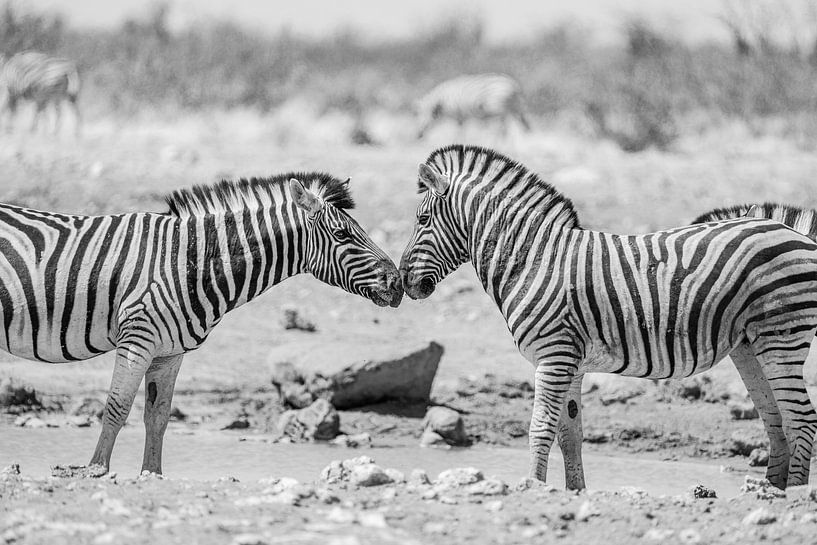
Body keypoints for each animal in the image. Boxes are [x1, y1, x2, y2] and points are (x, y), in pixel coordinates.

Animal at [0, 173, 402, 475]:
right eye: (343, 235)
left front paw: (151, 475)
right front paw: (97, 470)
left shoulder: (169, 352)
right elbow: (117, 408)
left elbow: (158, 417)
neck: (189, 260)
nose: (398, 283)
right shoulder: (137, 339)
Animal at [400, 144, 817, 490]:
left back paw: (793, 494)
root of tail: (794, 232)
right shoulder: (570, 363)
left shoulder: (553, 357)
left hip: (782, 338)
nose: (405, 282)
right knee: (777, 419)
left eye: (422, 220)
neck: (532, 259)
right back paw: (770, 491)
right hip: (749, 346)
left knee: (802, 419)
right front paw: (574, 491)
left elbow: (540, 427)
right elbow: (569, 434)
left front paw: (532, 487)